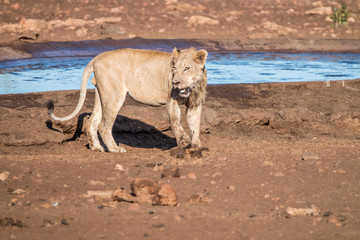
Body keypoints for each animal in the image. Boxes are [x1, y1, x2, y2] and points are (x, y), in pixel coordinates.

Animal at [47, 47, 208, 158]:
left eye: (187, 68)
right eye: (174, 68)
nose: (175, 82)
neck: (192, 88)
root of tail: (98, 56)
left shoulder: (195, 104)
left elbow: (195, 125)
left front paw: (196, 146)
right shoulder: (172, 100)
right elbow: (175, 122)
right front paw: (183, 141)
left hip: (102, 95)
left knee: (92, 121)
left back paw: (97, 148)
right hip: (114, 95)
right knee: (103, 126)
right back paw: (115, 149)